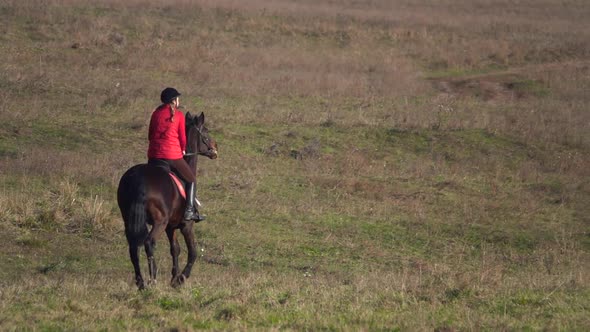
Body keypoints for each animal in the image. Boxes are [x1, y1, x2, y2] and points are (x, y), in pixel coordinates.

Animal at [116, 112, 217, 290]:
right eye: (205, 132)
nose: (214, 148)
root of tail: (138, 180)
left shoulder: (171, 226)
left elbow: (175, 249)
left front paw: (174, 278)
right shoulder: (186, 225)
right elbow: (193, 252)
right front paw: (181, 278)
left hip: (130, 219)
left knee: (133, 247)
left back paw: (141, 282)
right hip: (159, 222)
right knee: (149, 243)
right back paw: (152, 279)